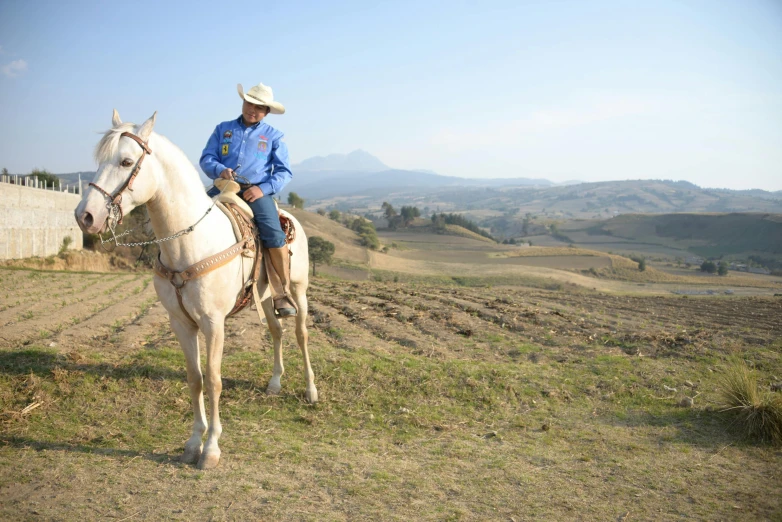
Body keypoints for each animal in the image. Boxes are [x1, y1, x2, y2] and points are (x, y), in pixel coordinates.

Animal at [74, 109, 318, 468]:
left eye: (126, 161)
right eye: (99, 160)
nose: (86, 216)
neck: (188, 243)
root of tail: (290, 218)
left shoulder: (213, 323)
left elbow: (214, 380)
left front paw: (212, 448)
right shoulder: (181, 323)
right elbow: (195, 378)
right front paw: (192, 443)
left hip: (297, 290)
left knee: (300, 333)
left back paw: (311, 390)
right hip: (264, 295)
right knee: (276, 331)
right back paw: (274, 383)